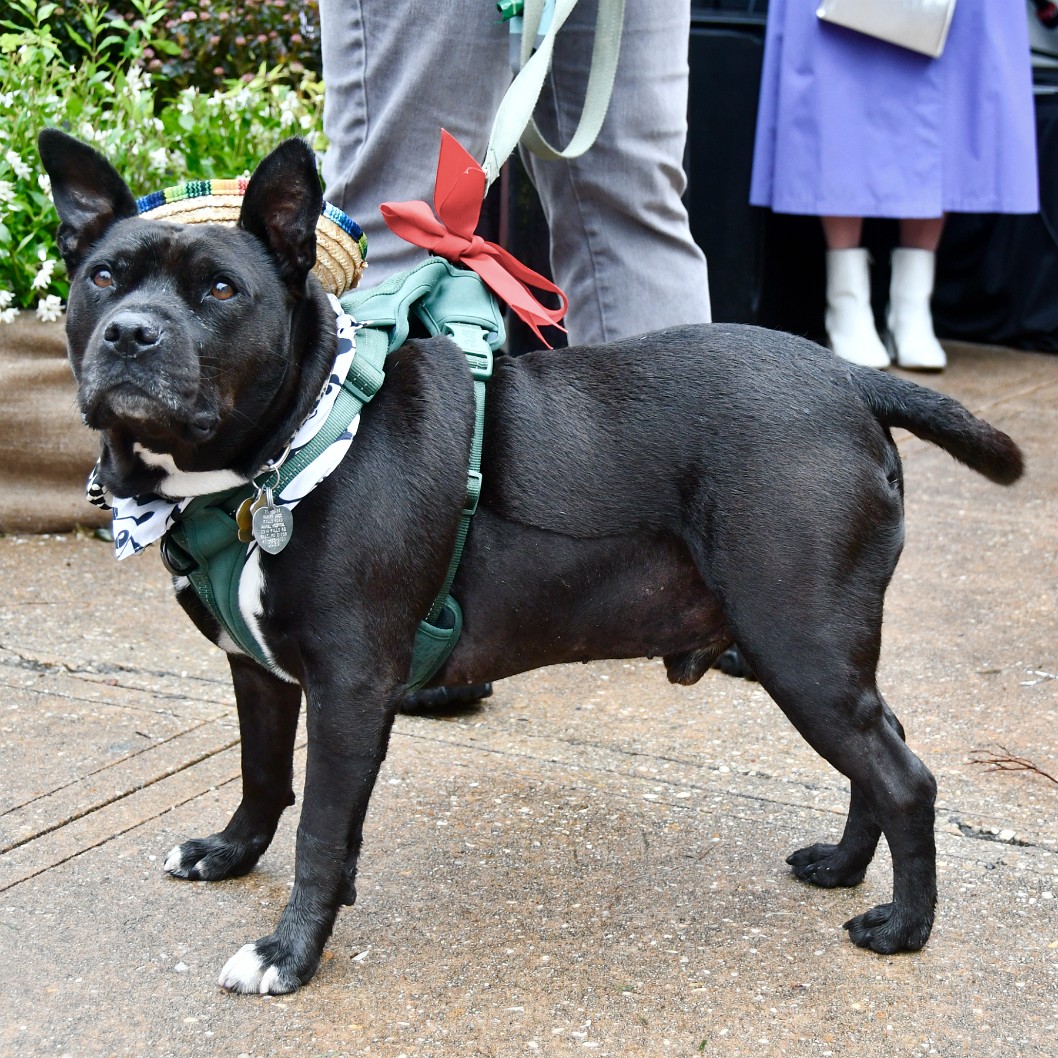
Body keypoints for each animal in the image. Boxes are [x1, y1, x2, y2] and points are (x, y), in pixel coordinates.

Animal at [41, 128, 1024, 994]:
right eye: (102, 277)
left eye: (219, 289)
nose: (130, 333)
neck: (291, 440)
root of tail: (849, 379)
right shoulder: (261, 672)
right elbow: (261, 775)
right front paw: (231, 852)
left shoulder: (349, 687)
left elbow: (321, 831)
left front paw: (289, 954)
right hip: (818, 655)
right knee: (883, 748)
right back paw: (846, 865)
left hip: (798, 645)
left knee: (905, 777)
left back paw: (905, 927)